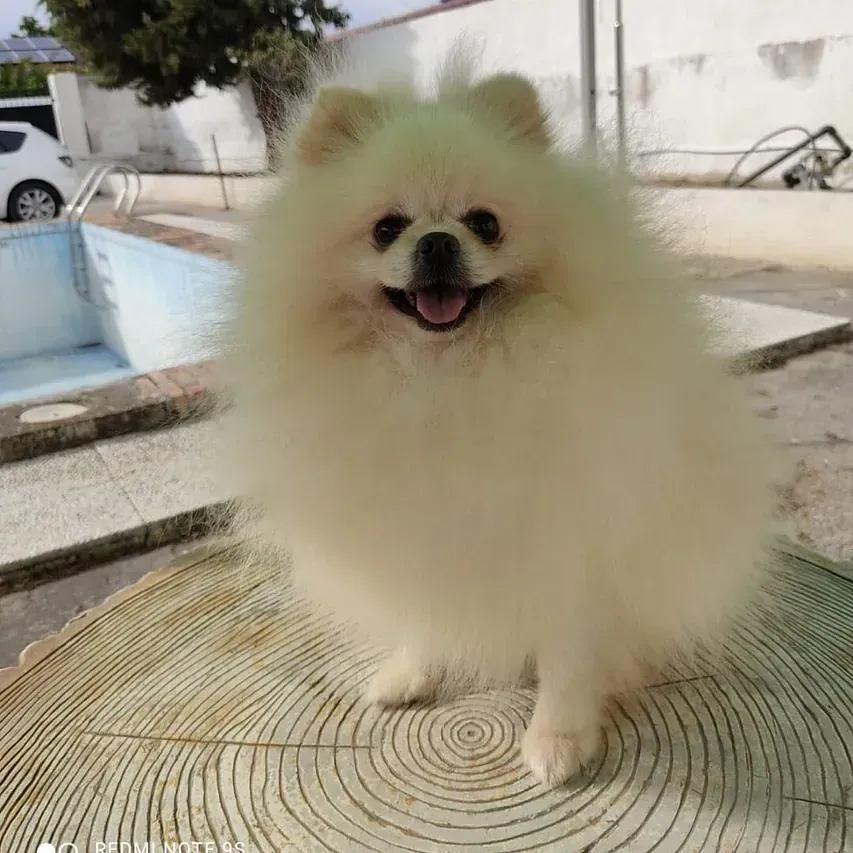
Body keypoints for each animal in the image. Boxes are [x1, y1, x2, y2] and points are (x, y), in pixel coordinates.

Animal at [225, 53, 780, 784]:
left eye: (484, 223)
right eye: (386, 228)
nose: (436, 242)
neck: (445, 379)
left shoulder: (570, 544)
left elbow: (569, 658)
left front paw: (559, 740)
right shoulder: (417, 532)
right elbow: (424, 613)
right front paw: (412, 672)